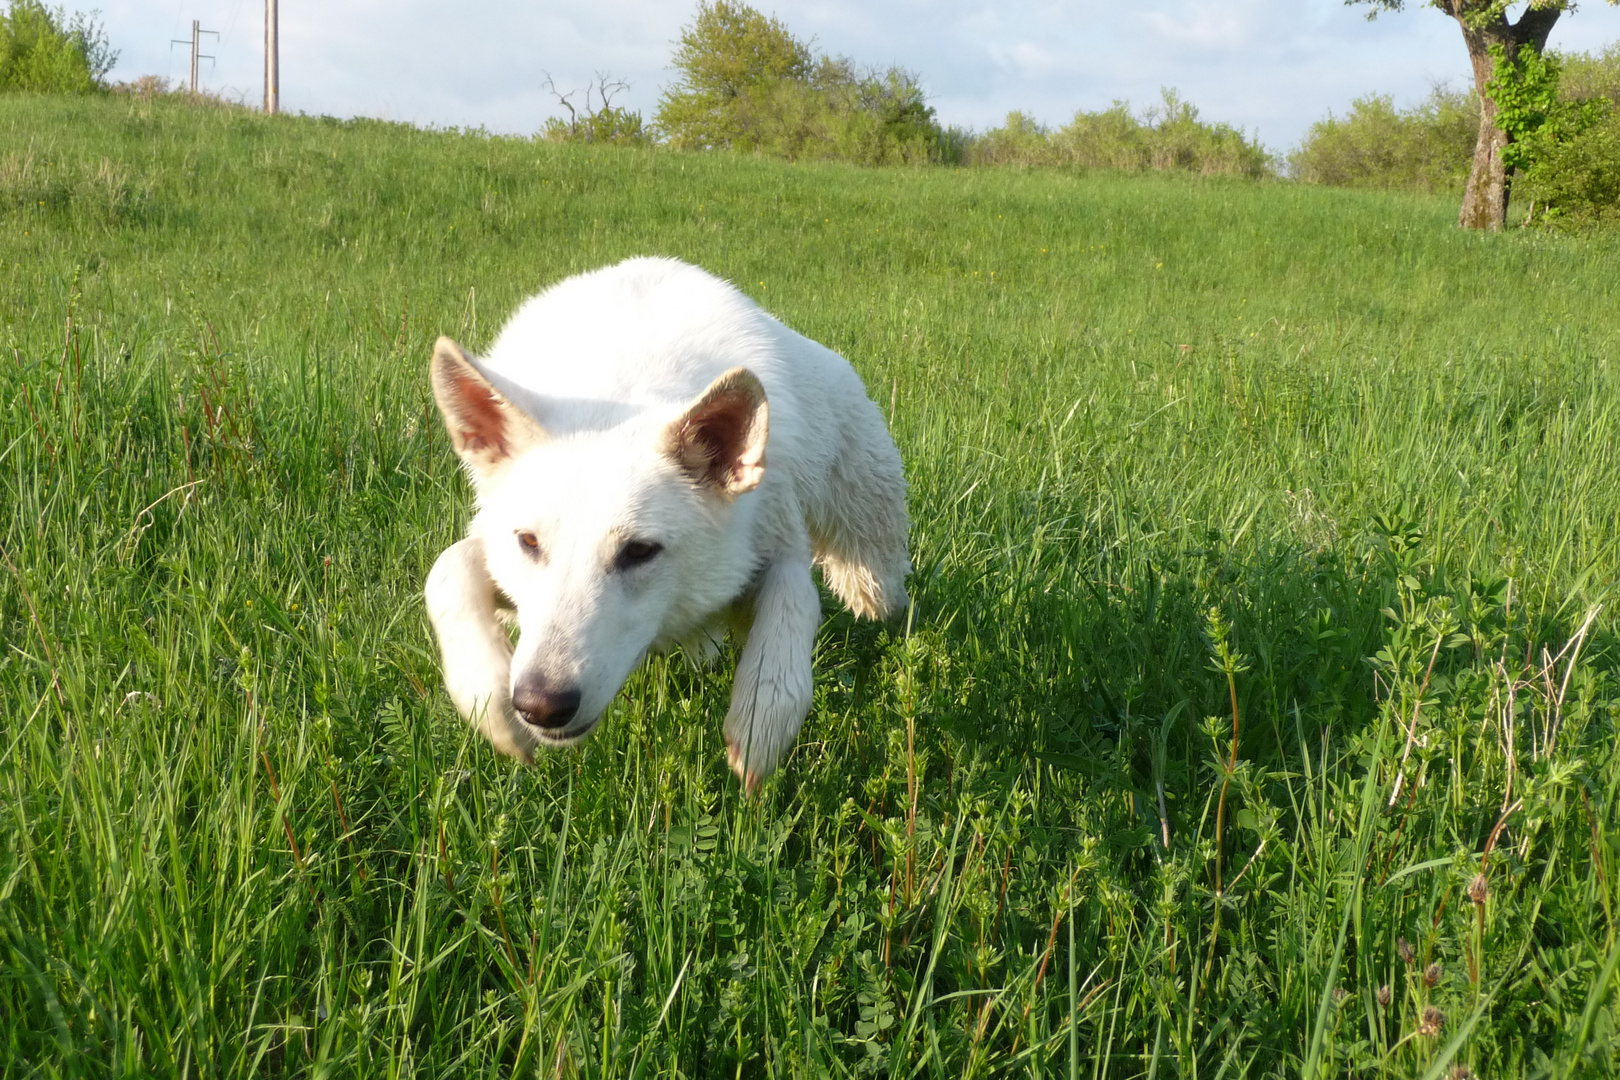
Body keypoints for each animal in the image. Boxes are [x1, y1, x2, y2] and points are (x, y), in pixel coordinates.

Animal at [421, 257, 913, 790]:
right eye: (528, 542)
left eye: (639, 552)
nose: (540, 705)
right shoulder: (495, 561)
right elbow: (446, 570)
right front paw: (488, 702)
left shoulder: (776, 543)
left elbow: (792, 606)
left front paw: (760, 725)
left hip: (872, 565)